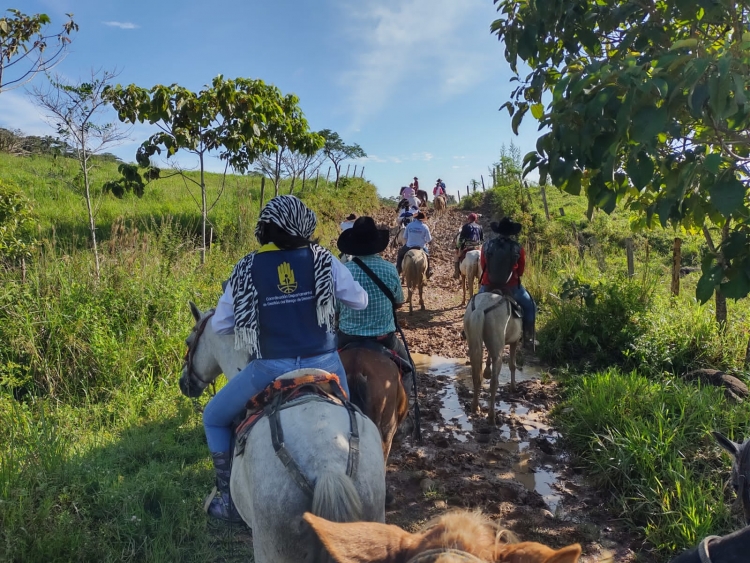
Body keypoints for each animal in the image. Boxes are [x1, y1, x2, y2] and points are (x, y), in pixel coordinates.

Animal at [464, 294, 524, 426]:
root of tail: (480, 308)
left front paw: (487, 371)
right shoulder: (515, 341)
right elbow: (512, 365)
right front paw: (513, 387)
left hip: (473, 342)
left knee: (476, 376)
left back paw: (475, 407)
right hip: (499, 352)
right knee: (494, 382)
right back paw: (491, 417)